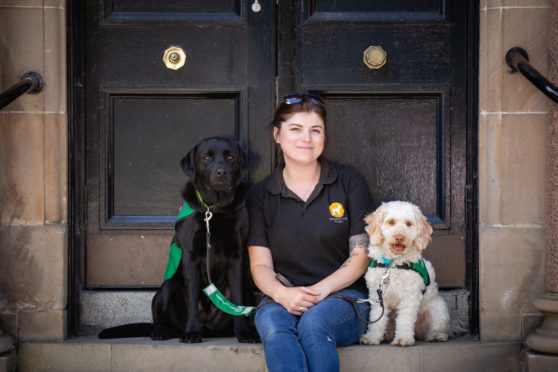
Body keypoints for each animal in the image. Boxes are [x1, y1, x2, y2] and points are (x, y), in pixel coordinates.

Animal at [360, 201, 452, 346]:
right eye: (391, 222)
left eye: (409, 223)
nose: (399, 237)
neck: (393, 265)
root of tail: (418, 331)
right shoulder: (377, 295)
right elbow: (377, 318)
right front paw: (372, 337)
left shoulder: (410, 296)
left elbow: (405, 319)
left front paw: (403, 339)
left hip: (439, 310)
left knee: (439, 327)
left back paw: (436, 335)